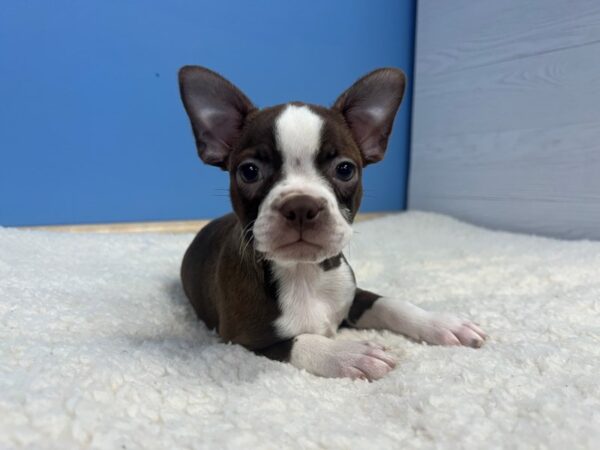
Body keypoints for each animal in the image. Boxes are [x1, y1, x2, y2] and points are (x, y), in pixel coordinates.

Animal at [179, 66, 488, 380]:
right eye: (249, 172)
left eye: (345, 169)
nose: (300, 205)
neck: (303, 273)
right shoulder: (243, 340)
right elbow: (302, 341)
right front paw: (350, 353)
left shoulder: (352, 296)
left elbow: (391, 303)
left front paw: (441, 323)